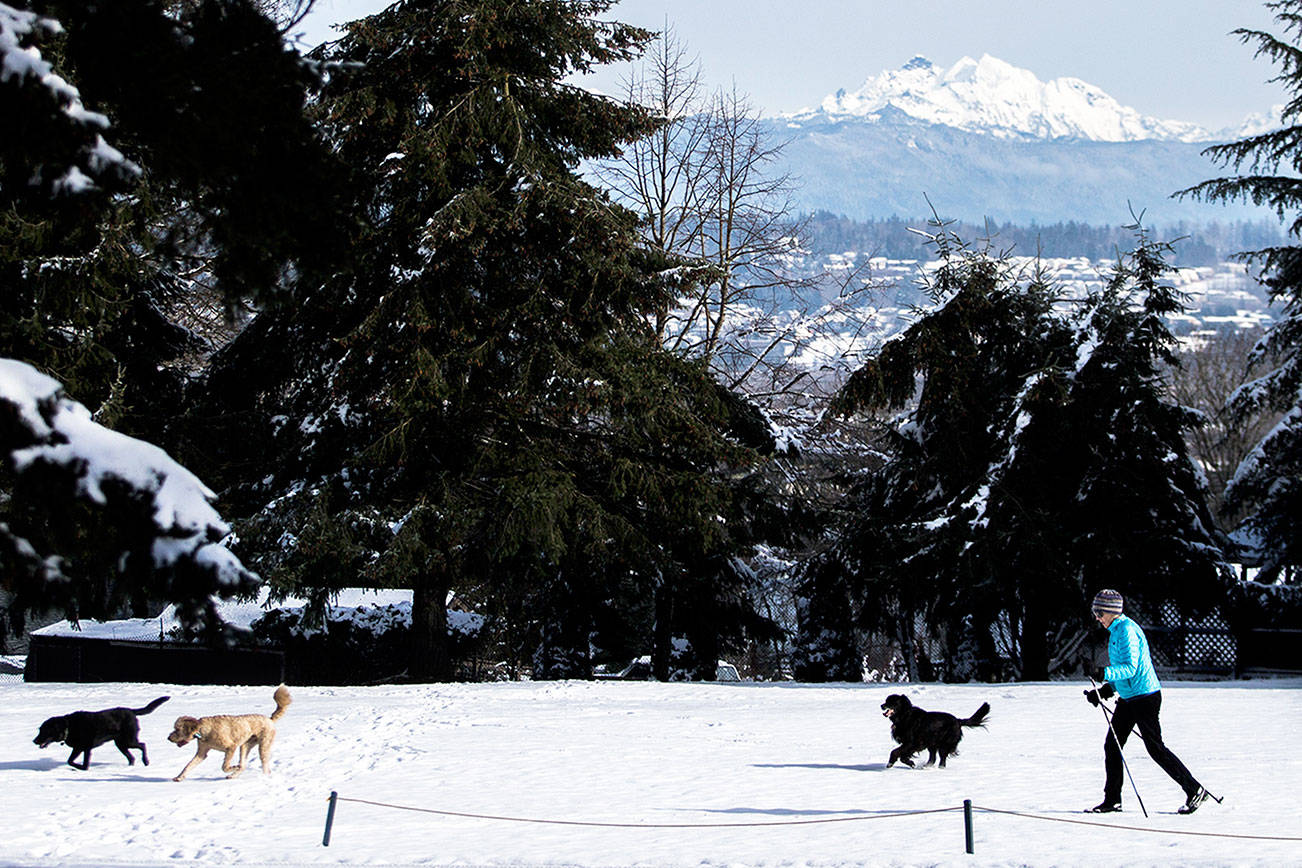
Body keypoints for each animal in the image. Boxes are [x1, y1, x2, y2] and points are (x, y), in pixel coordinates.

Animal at [33, 697, 170, 770]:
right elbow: (70, 760)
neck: (68, 727)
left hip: (128, 740)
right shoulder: (79, 748)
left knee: (143, 745)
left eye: (44, 731)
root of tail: (131, 711)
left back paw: (146, 761)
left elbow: (77, 762)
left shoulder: (84, 748)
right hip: (120, 743)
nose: (34, 741)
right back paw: (130, 766)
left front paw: (82, 768)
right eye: (39, 730)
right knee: (131, 756)